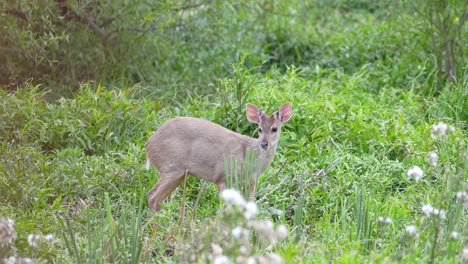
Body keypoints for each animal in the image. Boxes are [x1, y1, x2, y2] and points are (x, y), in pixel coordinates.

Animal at [146, 102, 292, 211]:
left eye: (274, 129)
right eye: (260, 129)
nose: (264, 143)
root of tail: (148, 145)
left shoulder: (251, 182)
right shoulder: (223, 177)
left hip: (179, 174)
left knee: (155, 198)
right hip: (171, 167)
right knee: (152, 196)